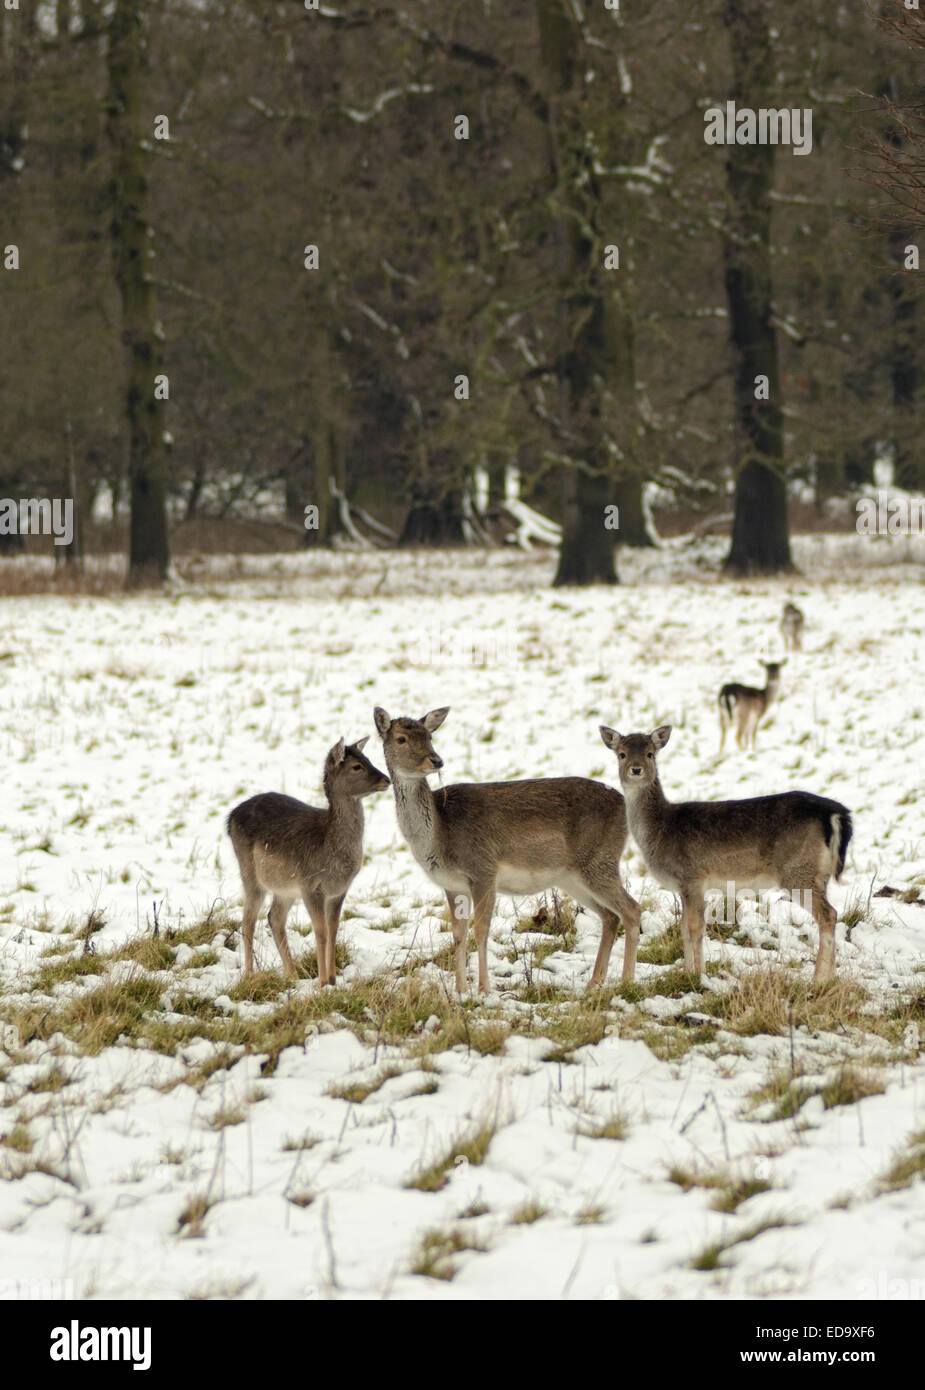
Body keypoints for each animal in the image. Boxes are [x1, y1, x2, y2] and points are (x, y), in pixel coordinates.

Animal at [232, 739, 392, 989]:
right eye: (357, 766)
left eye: (368, 759)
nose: (386, 779)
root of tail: (229, 817)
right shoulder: (310, 886)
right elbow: (321, 931)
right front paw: (322, 982)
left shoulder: (339, 891)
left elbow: (333, 928)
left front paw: (333, 979)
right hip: (250, 873)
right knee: (248, 920)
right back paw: (250, 974)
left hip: (285, 888)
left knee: (274, 917)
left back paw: (292, 975)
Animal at [372, 711, 639, 995]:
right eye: (401, 739)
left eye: (429, 736)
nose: (436, 760)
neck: (438, 835)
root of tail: (624, 806)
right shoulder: (452, 885)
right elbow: (458, 934)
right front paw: (459, 990)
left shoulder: (483, 869)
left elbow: (481, 930)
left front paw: (484, 989)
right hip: (574, 877)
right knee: (610, 916)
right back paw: (594, 982)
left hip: (599, 861)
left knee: (632, 909)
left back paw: (626, 981)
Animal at [598, 722, 851, 984]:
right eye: (622, 754)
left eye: (650, 753)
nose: (636, 769)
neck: (660, 830)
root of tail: (834, 812)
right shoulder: (684, 886)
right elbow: (683, 929)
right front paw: (689, 972)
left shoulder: (692, 877)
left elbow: (695, 928)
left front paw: (699, 976)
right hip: (820, 873)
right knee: (831, 913)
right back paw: (831, 979)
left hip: (798, 870)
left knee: (828, 914)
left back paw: (818, 979)